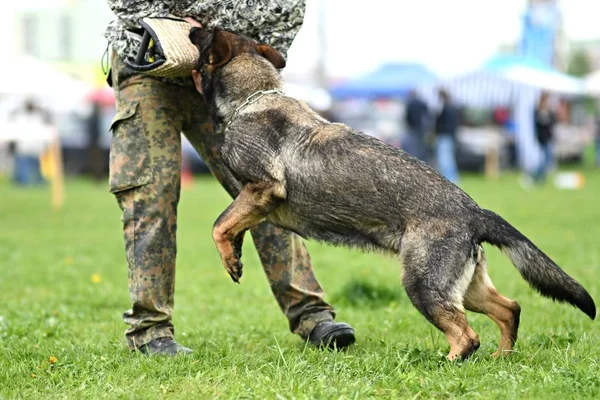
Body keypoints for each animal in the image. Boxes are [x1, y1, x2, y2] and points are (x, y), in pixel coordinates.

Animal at [190, 27, 592, 360]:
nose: (191, 26)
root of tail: (474, 211)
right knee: (510, 309)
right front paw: (235, 256)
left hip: (422, 285)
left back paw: (449, 363)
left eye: (205, 37)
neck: (252, 98)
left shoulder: (262, 189)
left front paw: (228, 257)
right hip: (464, 287)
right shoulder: (253, 201)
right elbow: (232, 226)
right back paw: (502, 357)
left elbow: (218, 224)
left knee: (467, 337)